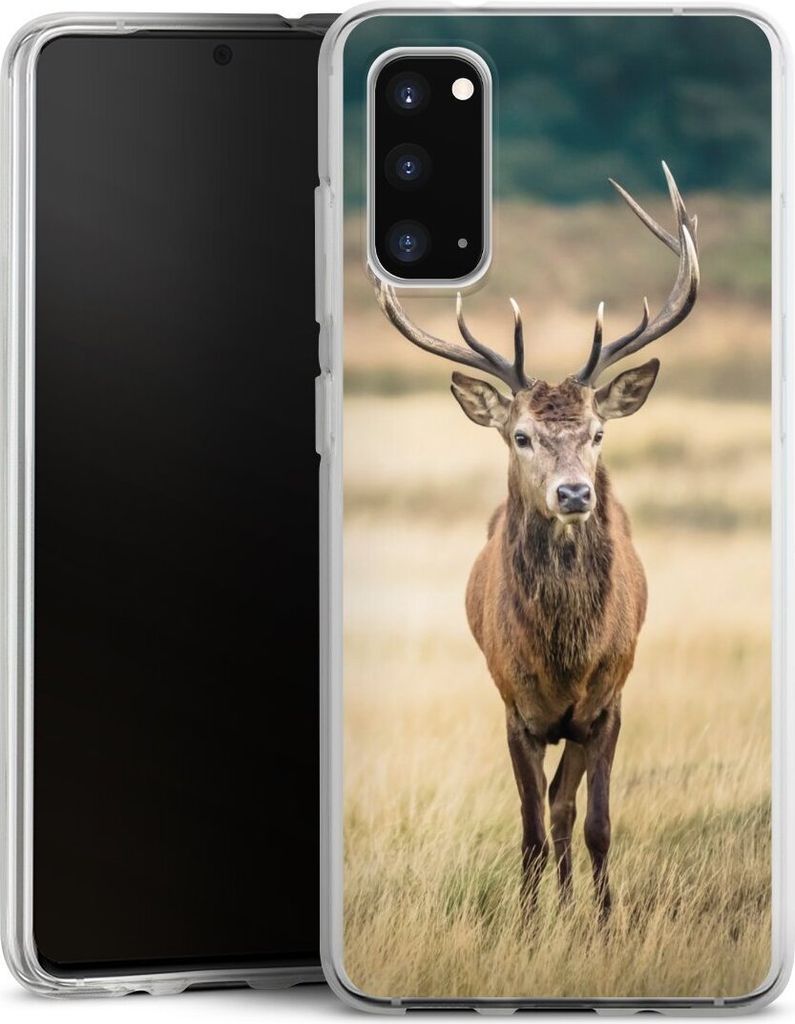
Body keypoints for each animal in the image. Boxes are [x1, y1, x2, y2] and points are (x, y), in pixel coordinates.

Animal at [369, 163, 699, 920]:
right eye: (520, 436)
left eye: (598, 433)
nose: (574, 493)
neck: (564, 659)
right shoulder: (513, 707)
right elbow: (527, 830)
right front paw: (525, 924)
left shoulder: (607, 703)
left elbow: (595, 822)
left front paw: (603, 924)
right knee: (547, 812)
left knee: (565, 808)